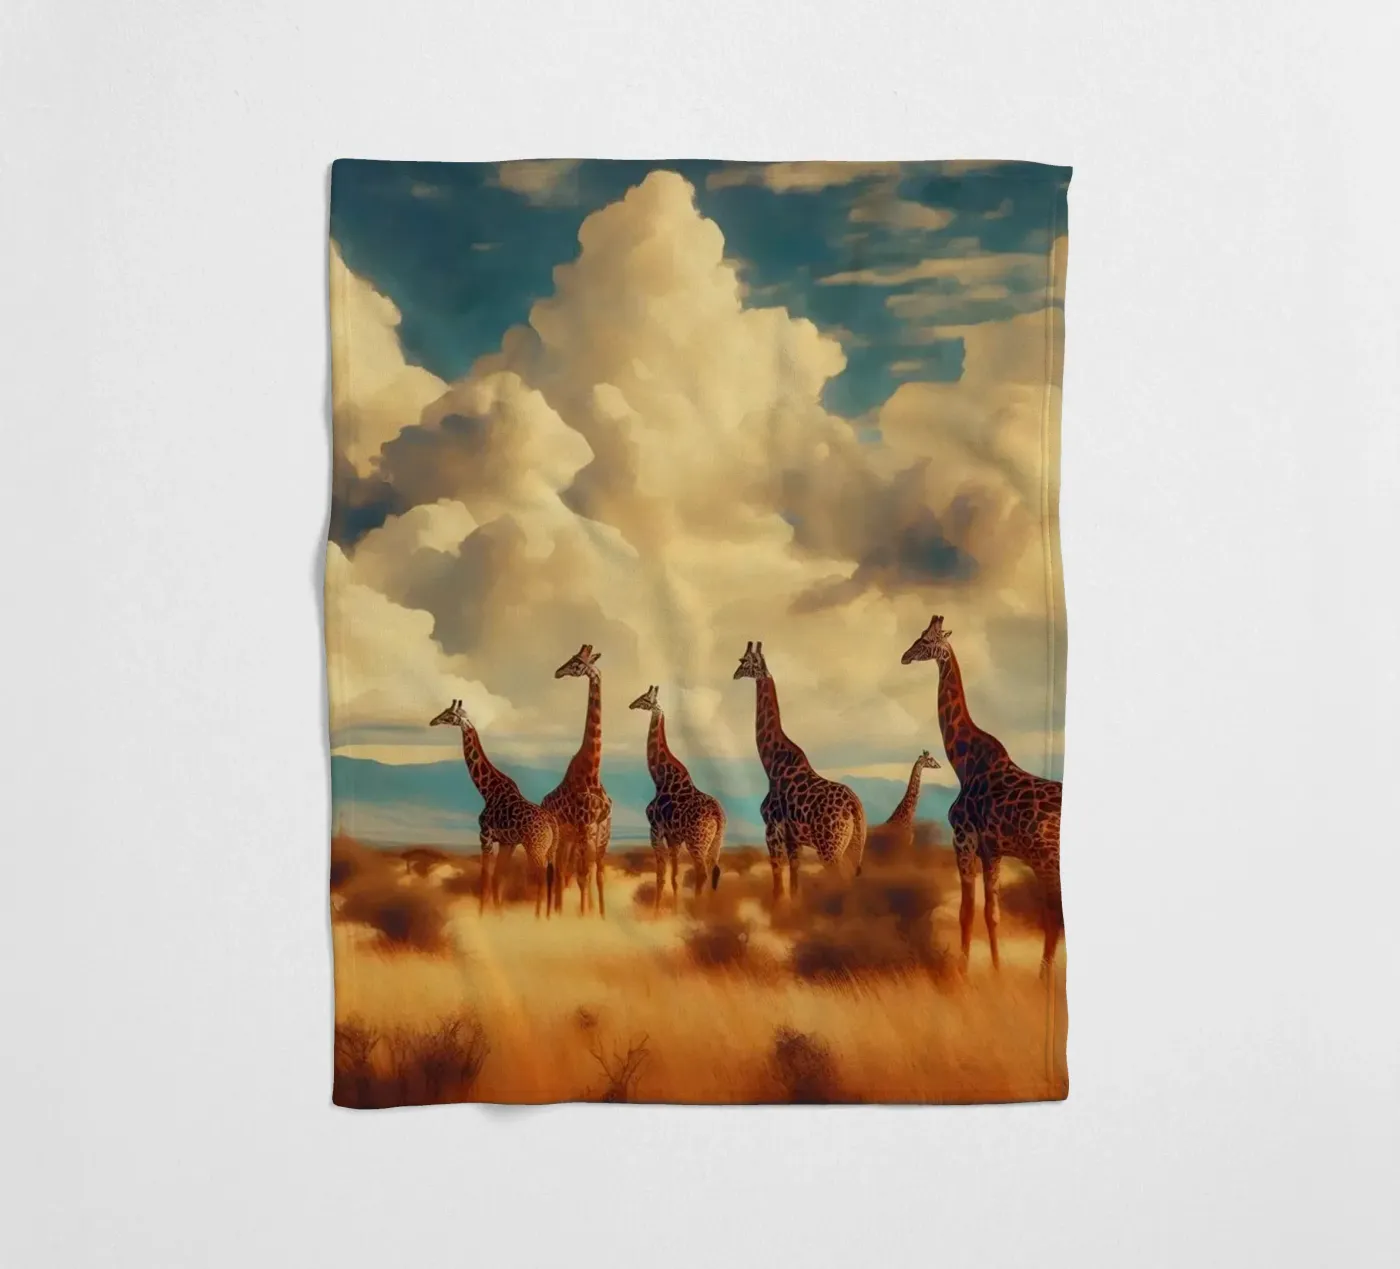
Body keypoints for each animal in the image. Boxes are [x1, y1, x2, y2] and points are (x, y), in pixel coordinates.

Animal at [429, 699, 558, 918]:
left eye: (449, 714)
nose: (433, 721)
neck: (487, 791)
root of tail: (552, 823)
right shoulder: (508, 843)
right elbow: (498, 876)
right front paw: (498, 914)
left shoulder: (485, 837)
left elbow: (486, 877)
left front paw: (483, 915)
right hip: (549, 850)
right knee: (550, 875)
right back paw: (548, 915)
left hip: (535, 847)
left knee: (540, 876)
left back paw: (538, 917)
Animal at [542, 645, 613, 917]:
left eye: (576, 662)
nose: (558, 671)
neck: (592, 771)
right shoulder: (584, 827)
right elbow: (583, 875)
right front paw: (584, 916)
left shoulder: (600, 828)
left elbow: (597, 874)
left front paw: (600, 915)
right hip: (560, 835)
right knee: (557, 870)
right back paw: (553, 912)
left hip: (569, 837)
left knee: (564, 870)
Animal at [628, 685, 725, 915]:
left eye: (645, 699)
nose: (631, 704)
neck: (659, 777)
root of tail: (718, 815)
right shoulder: (674, 838)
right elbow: (674, 877)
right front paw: (674, 909)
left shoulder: (655, 830)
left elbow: (661, 877)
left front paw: (656, 913)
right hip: (715, 842)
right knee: (714, 871)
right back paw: (708, 910)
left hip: (697, 842)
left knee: (702, 873)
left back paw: (698, 912)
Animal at [732, 641, 867, 901]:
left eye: (744, 661)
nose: (734, 675)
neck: (771, 764)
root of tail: (855, 807)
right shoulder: (794, 840)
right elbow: (794, 880)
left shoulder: (772, 830)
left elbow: (777, 879)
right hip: (853, 845)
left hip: (830, 848)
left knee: (842, 882)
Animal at [901, 615, 1063, 976]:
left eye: (926, 640)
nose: (904, 656)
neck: (964, 762)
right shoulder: (993, 851)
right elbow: (992, 914)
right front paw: (997, 970)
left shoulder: (963, 839)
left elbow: (966, 912)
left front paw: (962, 974)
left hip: (1047, 861)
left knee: (1055, 918)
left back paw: (1043, 978)